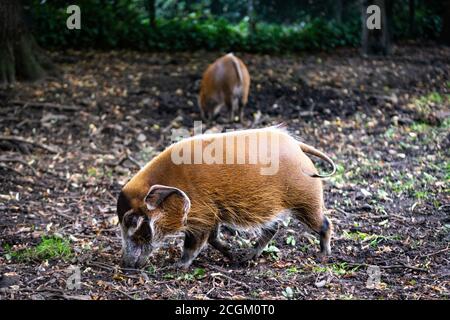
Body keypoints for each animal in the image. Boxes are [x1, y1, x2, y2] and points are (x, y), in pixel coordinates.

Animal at [118, 126, 336, 268]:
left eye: (132, 221)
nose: (126, 264)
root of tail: (297, 146)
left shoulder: (201, 217)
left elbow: (193, 245)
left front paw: (177, 266)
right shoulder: (212, 214)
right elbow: (214, 239)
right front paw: (231, 255)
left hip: (306, 200)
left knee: (325, 224)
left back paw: (323, 255)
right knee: (273, 228)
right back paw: (248, 256)